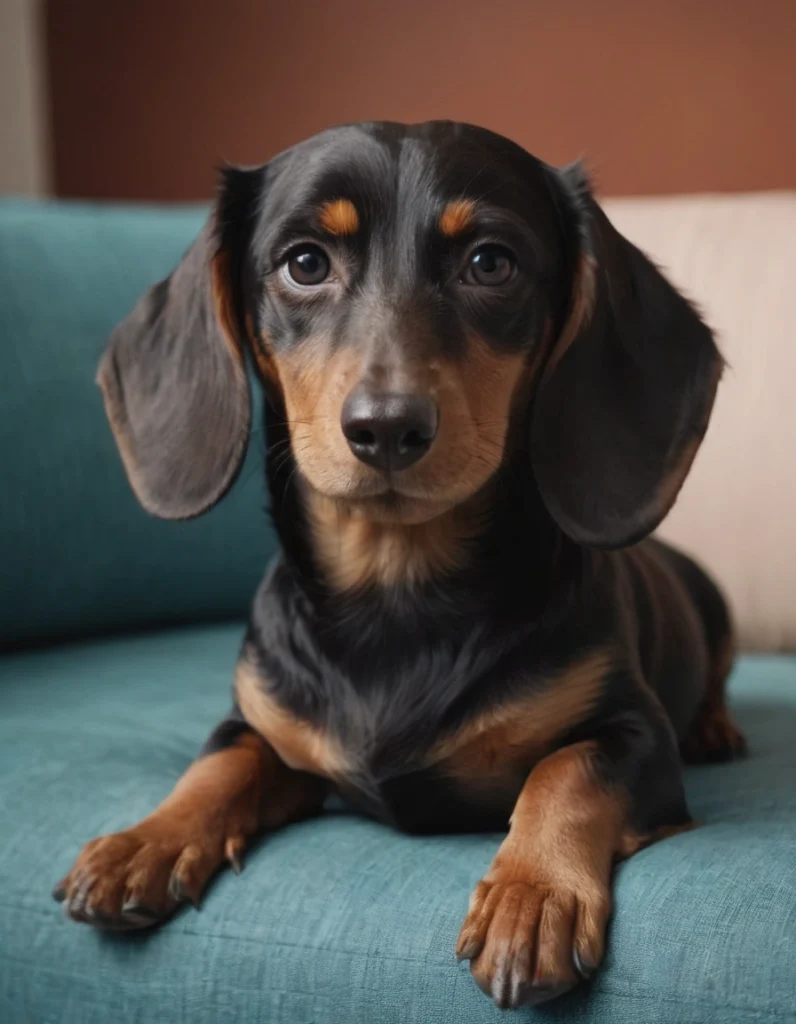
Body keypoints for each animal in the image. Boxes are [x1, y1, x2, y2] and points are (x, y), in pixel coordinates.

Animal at [55, 119, 745, 1007]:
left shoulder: (634, 731)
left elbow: (566, 769)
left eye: (490, 261)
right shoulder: (269, 728)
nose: (386, 427)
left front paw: (532, 896)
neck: (397, 592)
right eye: (305, 262)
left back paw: (717, 727)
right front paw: (146, 839)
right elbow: (221, 760)